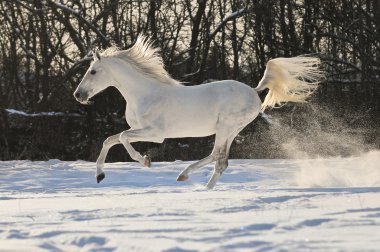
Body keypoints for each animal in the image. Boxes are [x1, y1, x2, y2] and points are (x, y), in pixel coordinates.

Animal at [74, 35, 324, 189]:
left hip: (226, 127)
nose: (78, 95)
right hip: (231, 130)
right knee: (220, 160)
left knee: (218, 157)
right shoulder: (139, 129)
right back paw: (197, 184)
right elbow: (110, 140)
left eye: (93, 71)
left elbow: (123, 138)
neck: (145, 94)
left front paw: (144, 161)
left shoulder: (155, 133)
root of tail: (254, 90)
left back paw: (190, 179)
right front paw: (99, 176)